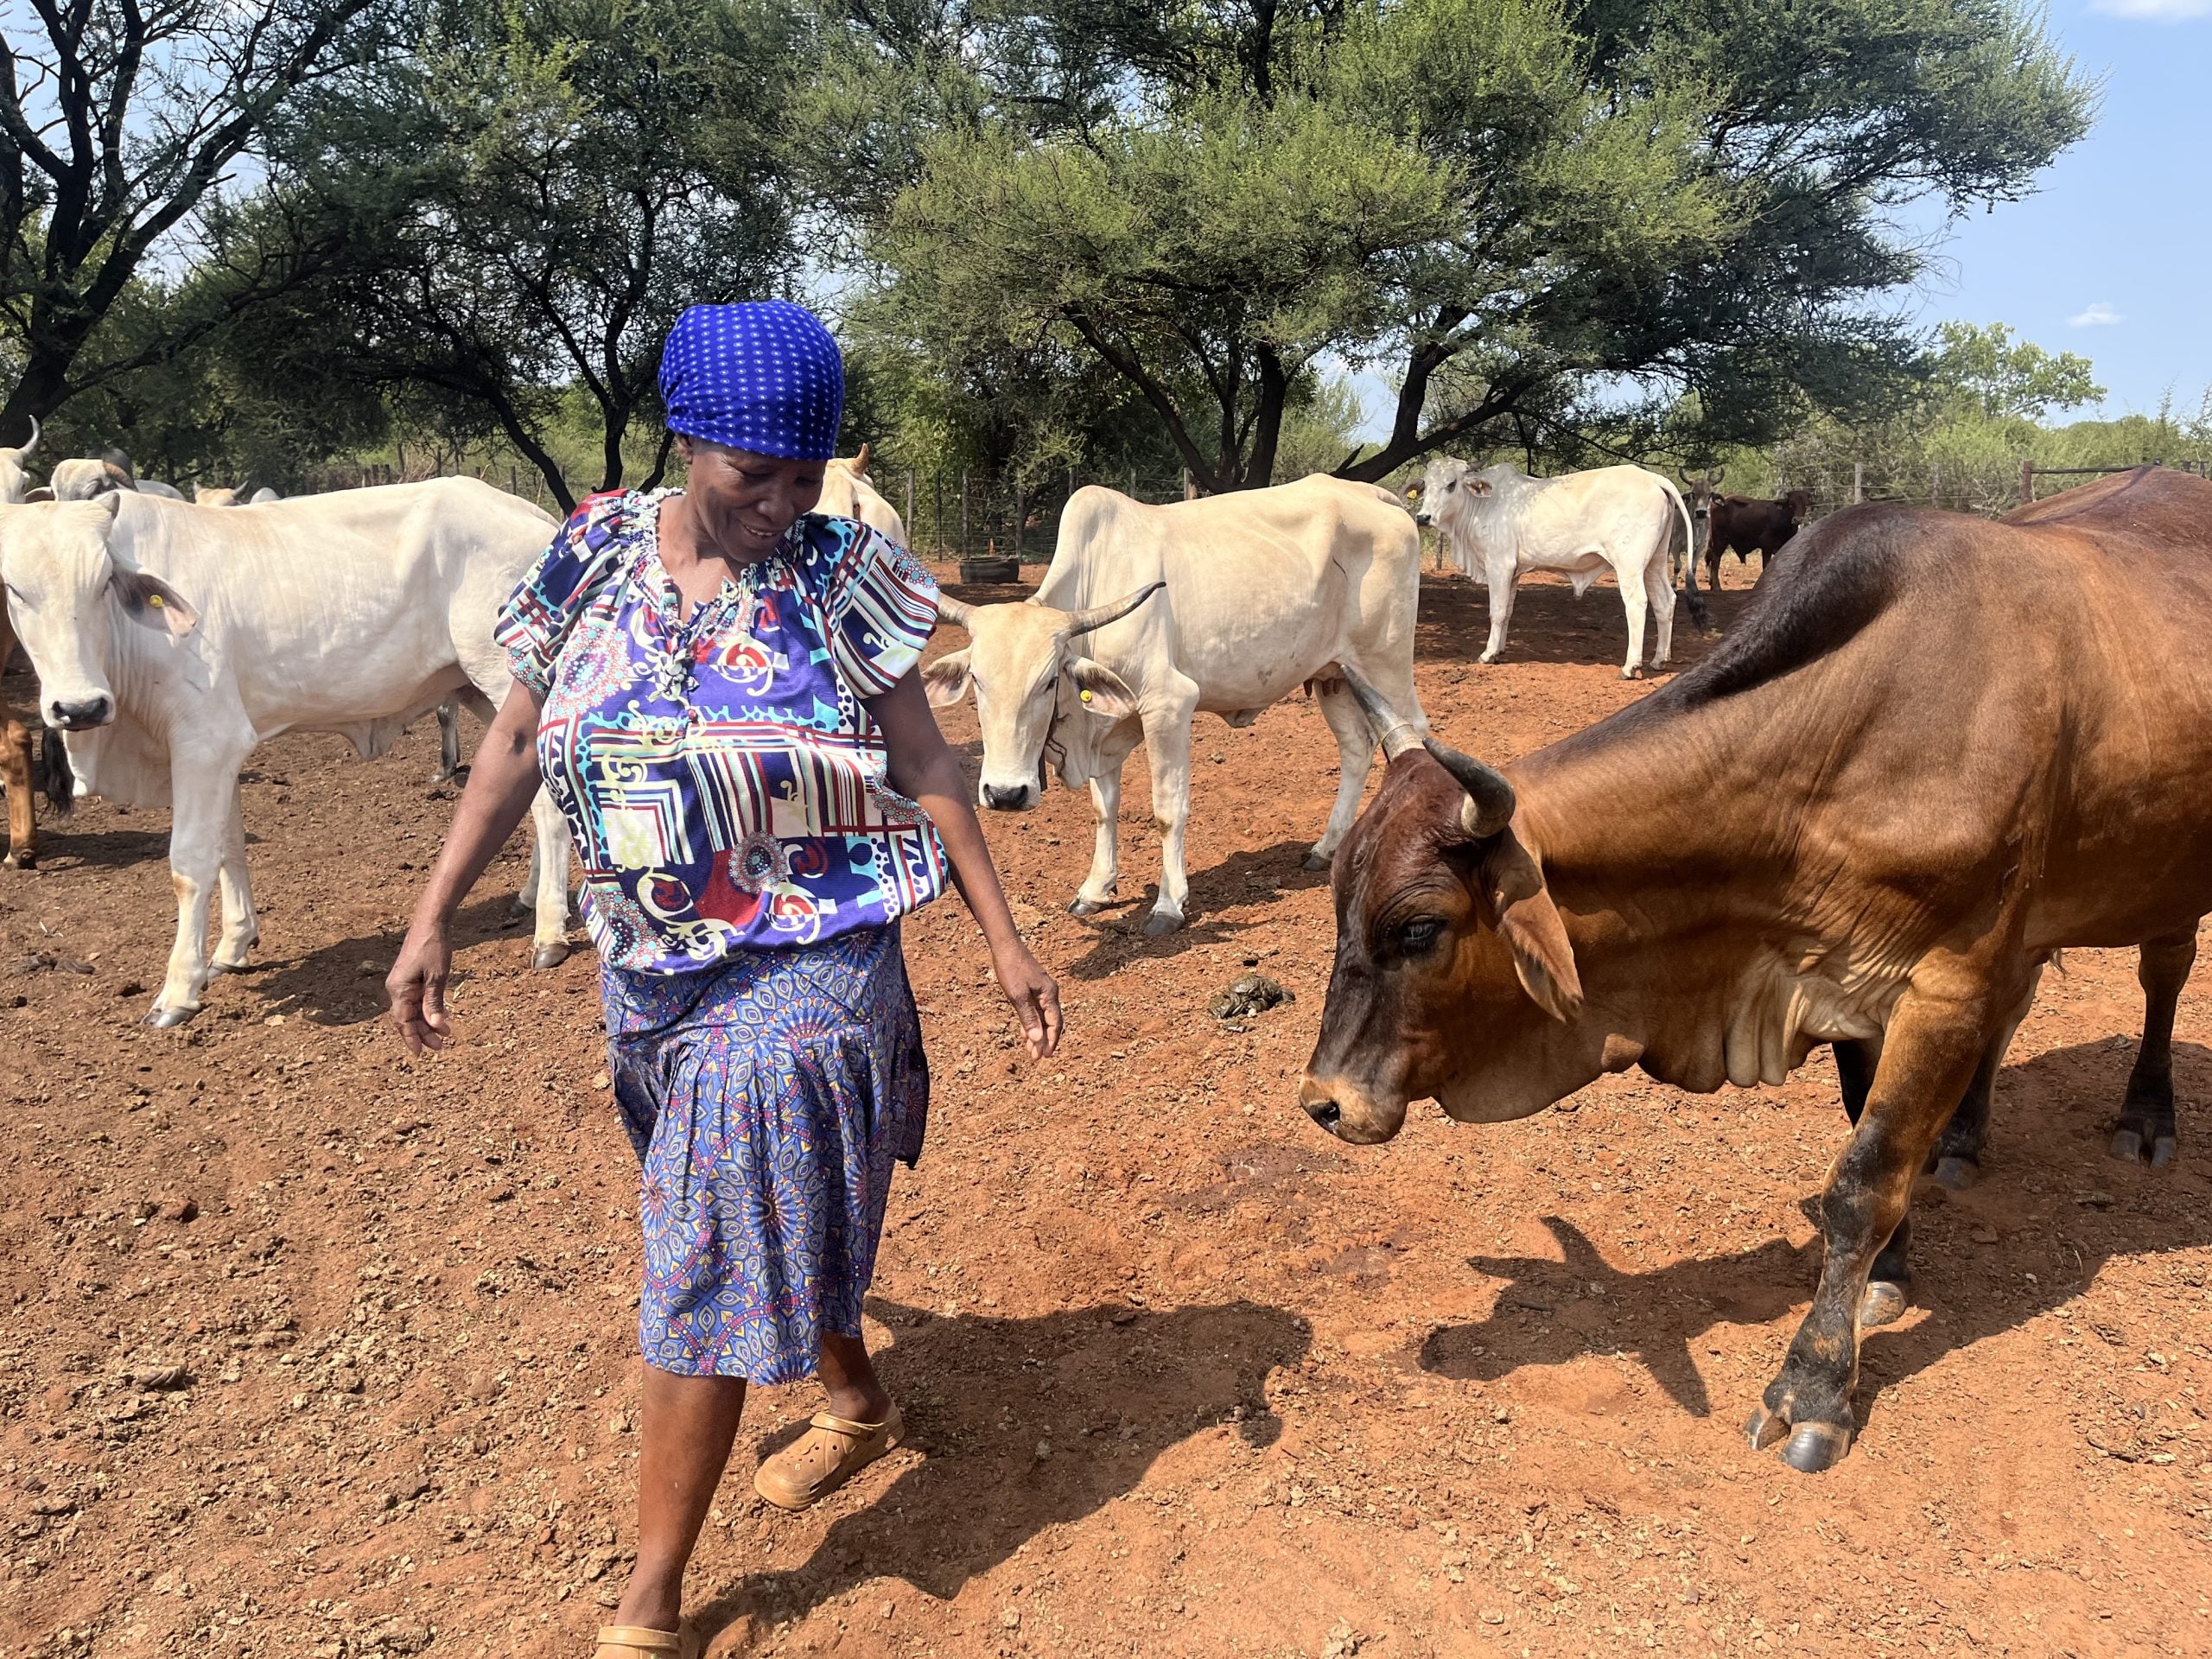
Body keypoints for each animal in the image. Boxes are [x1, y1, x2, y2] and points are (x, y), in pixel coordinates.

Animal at [0, 480, 576, 1026]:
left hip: (503, 677)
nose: (80, 707)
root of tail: (537, 517)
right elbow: (229, 846)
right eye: (13, 590)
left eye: (102, 583)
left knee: (548, 804)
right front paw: (233, 947)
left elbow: (190, 864)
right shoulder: (220, 754)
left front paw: (177, 992)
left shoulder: (204, 741)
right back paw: (533, 897)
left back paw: (549, 931)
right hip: (478, 690)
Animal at [925, 473, 1423, 936]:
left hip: (1387, 664)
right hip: (1334, 675)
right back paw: (1325, 849)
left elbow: (1168, 810)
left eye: (1048, 682)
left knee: (1411, 735)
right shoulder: (1104, 727)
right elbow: (1104, 809)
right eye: (977, 681)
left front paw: (1168, 905)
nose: (1005, 795)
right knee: (1356, 748)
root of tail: (1374, 494)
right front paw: (1096, 889)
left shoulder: (1169, 706)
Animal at [1412, 459, 1708, 678]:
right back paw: (1659, 660)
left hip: (1630, 564)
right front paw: (1500, 651)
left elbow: (1496, 612)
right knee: (1665, 601)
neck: (1484, 504)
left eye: (1451, 484)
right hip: (1655, 562)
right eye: (1426, 484)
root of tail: (1653, 478)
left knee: (1637, 603)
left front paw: (1487, 654)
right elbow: (1507, 612)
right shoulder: (1513, 572)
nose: (1423, 517)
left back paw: (1630, 667)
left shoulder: (1499, 565)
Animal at [1682, 471, 1814, 593]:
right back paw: (1716, 586)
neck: (1782, 518)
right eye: (1791, 504)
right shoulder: (1766, 546)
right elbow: (1766, 565)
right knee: (1716, 559)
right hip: (1721, 539)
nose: (1797, 520)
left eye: (1805, 505)